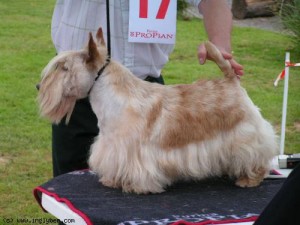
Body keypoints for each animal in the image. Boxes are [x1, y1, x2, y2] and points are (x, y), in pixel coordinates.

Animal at [37, 27, 276, 193]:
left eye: (64, 68)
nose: (38, 86)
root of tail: (231, 82)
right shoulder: (112, 146)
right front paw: (111, 180)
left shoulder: (135, 152)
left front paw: (136, 187)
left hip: (245, 135)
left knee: (256, 157)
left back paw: (249, 179)